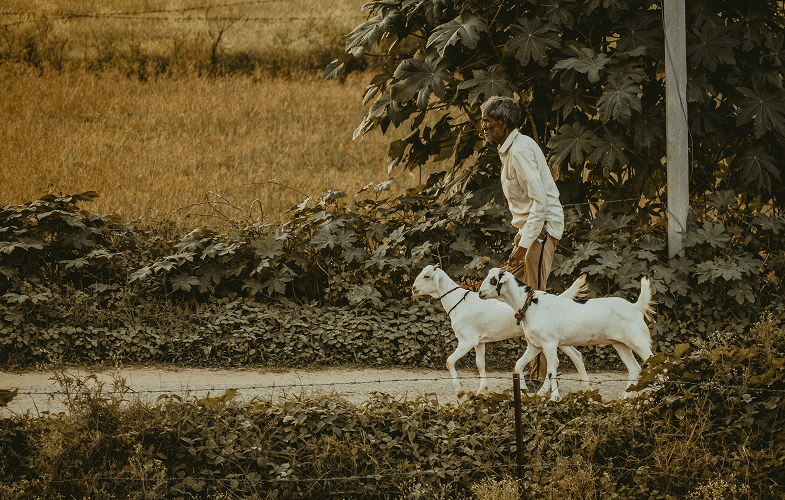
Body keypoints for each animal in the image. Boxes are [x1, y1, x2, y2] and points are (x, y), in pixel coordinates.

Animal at [412, 264, 591, 399]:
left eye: (427, 276)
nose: (413, 288)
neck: (459, 302)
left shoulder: (467, 341)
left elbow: (449, 361)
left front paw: (460, 390)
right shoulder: (479, 342)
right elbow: (480, 364)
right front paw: (481, 390)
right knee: (576, 355)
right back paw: (586, 387)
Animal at [478, 267, 654, 401]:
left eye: (493, 280)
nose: (480, 293)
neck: (531, 304)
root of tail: (635, 307)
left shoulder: (549, 344)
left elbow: (551, 371)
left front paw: (554, 397)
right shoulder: (535, 346)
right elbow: (519, 365)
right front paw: (523, 392)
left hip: (638, 341)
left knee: (654, 361)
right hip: (621, 344)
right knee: (634, 368)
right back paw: (625, 397)